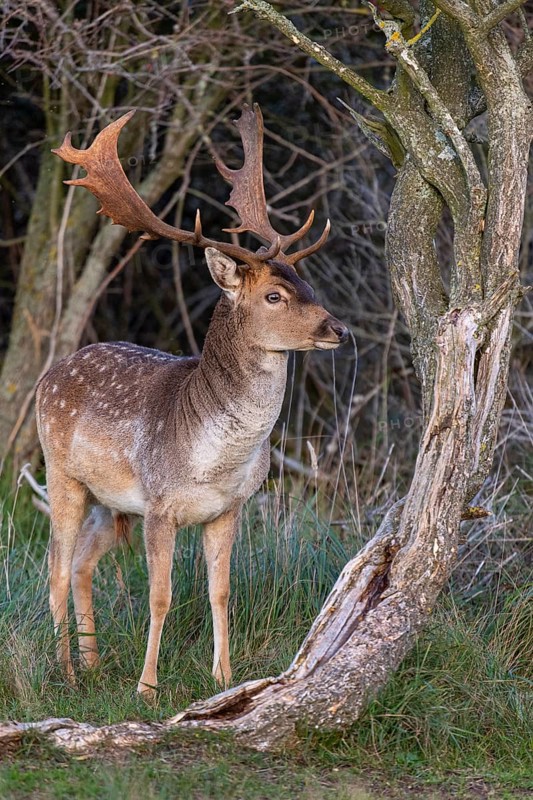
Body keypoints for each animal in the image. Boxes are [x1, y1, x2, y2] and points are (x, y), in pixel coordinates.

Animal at [36, 104, 348, 697]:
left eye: (309, 286)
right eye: (274, 295)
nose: (337, 329)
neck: (215, 460)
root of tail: (50, 374)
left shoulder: (229, 508)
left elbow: (219, 591)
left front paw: (224, 676)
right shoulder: (160, 505)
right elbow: (160, 596)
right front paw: (148, 688)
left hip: (112, 503)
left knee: (82, 563)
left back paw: (91, 664)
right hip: (61, 472)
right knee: (56, 566)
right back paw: (64, 671)